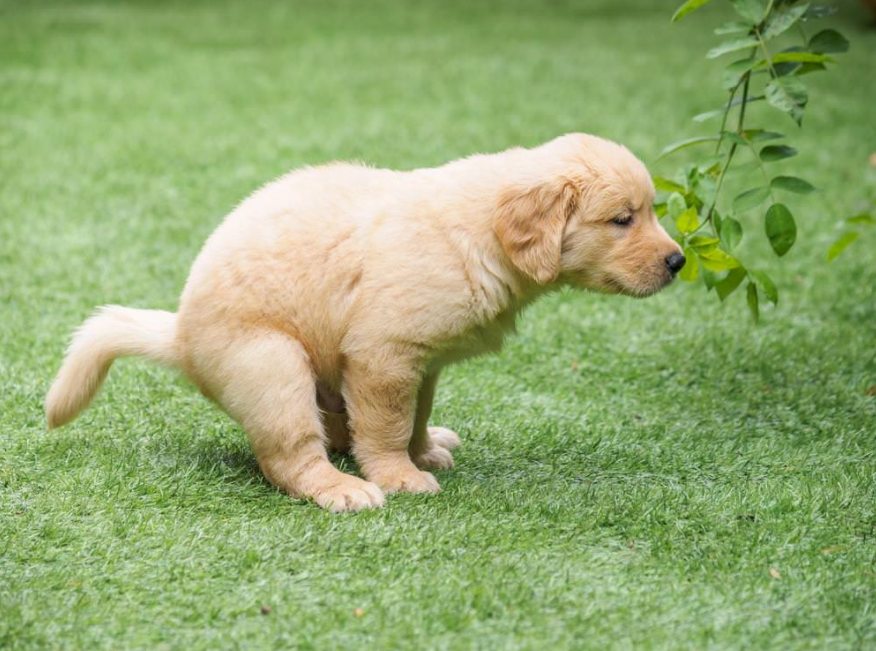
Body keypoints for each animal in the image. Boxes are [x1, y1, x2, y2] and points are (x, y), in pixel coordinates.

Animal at [46, 135, 684, 516]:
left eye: (650, 211)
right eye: (622, 219)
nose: (678, 261)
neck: (480, 233)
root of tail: (180, 335)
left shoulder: (421, 362)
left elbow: (414, 416)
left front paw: (422, 451)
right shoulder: (385, 353)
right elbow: (386, 426)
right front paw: (399, 476)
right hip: (273, 365)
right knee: (289, 457)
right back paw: (343, 487)